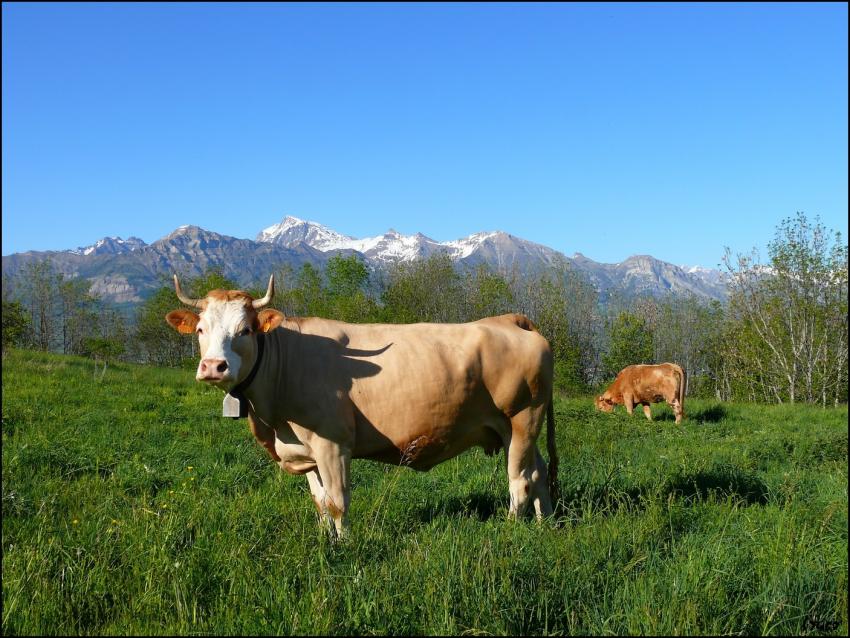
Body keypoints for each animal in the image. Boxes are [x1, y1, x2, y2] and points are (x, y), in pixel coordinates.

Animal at [165, 274, 558, 538]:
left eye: (245, 329)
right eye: (200, 330)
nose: (214, 366)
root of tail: (508, 320)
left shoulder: (333, 444)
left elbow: (338, 501)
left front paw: (346, 546)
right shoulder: (305, 450)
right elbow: (320, 502)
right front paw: (325, 540)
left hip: (522, 419)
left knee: (520, 481)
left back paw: (510, 529)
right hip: (515, 429)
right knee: (538, 473)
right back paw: (545, 524)